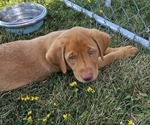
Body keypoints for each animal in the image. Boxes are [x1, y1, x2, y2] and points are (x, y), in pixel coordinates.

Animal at [0, 26, 138, 91]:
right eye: (71, 57)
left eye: (91, 52)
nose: (87, 78)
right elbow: (109, 56)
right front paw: (126, 52)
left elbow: (106, 50)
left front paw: (127, 49)